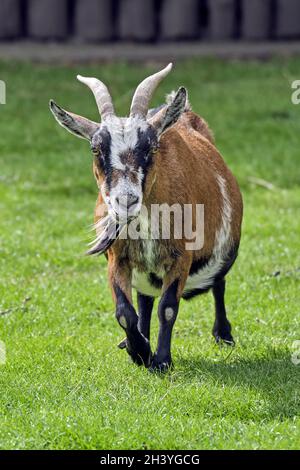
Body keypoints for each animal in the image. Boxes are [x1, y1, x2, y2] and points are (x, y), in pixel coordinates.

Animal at [48, 63, 241, 370]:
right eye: (95, 148)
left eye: (152, 146)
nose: (125, 200)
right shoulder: (117, 258)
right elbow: (125, 312)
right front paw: (139, 351)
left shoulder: (180, 257)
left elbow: (168, 308)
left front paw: (161, 360)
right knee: (144, 299)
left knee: (218, 283)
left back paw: (223, 335)